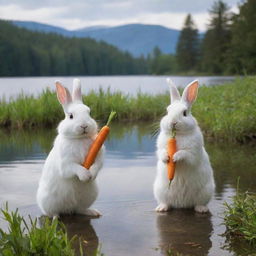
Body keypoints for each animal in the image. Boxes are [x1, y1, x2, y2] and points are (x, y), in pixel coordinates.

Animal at [36, 78, 104, 216]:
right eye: (71, 116)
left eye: (89, 112)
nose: (84, 126)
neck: (79, 139)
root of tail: (68, 210)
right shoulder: (66, 164)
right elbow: (74, 168)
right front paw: (85, 176)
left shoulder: (99, 156)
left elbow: (97, 165)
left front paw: (92, 174)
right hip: (49, 202)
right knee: (52, 212)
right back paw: (56, 218)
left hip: (89, 196)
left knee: (80, 209)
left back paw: (94, 212)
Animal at [153, 79, 215, 213]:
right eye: (167, 111)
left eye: (185, 113)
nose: (173, 122)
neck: (177, 136)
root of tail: (182, 204)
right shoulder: (161, 148)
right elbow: (161, 153)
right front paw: (167, 157)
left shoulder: (194, 153)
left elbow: (186, 154)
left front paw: (175, 157)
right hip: (160, 191)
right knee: (166, 202)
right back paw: (161, 208)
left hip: (206, 191)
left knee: (199, 203)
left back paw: (201, 209)